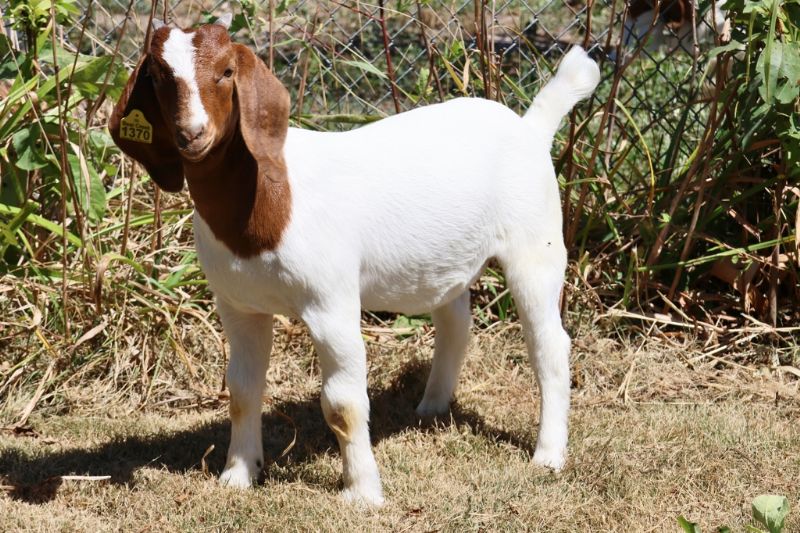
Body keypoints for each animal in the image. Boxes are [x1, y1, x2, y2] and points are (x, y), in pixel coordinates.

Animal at [108, 18, 600, 506]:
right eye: (157, 76)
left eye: (228, 71)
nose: (193, 134)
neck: (269, 195)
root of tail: (531, 127)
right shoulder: (238, 305)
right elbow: (243, 391)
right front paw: (238, 474)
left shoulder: (331, 301)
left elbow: (342, 404)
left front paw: (362, 492)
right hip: (446, 259)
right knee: (455, 320)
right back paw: (431, 407)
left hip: (535, 244)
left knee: (549, 344)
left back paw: (548, 454)